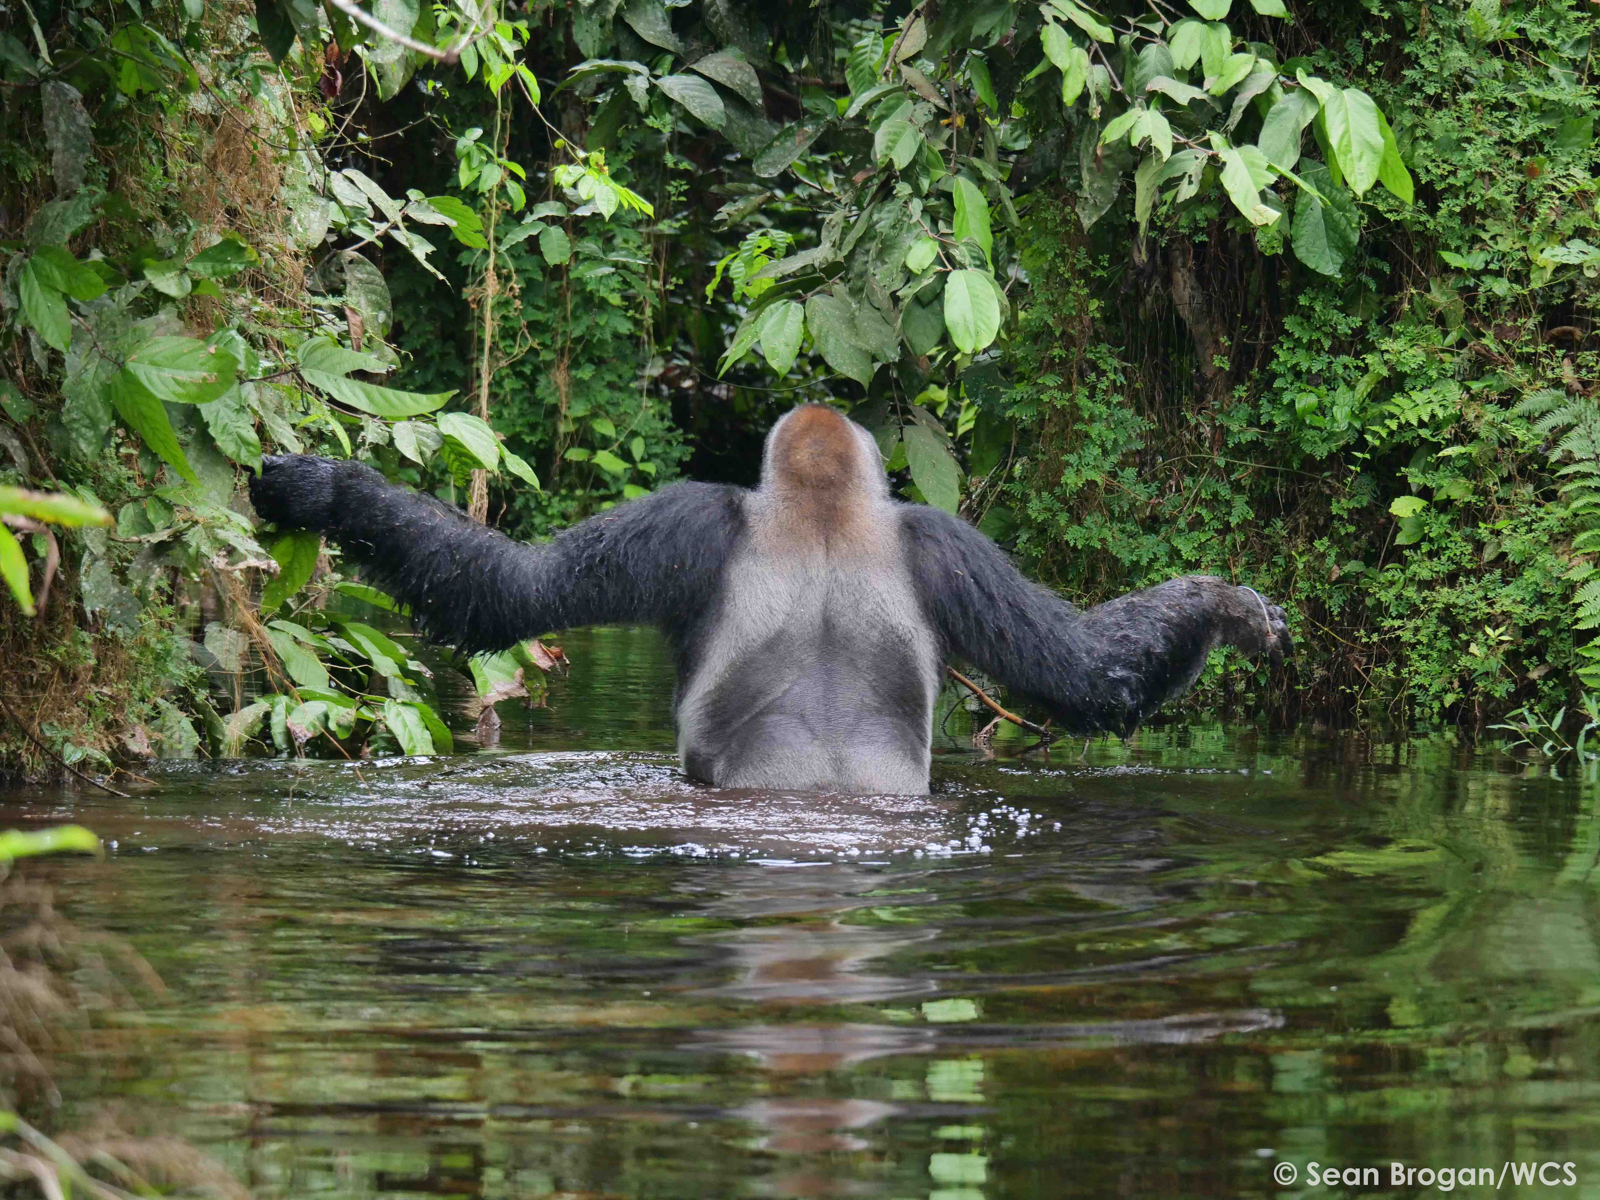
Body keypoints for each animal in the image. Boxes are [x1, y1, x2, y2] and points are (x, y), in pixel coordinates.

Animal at [249, 404, 1291, 793]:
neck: (823, 501)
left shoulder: (688, 516)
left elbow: (513, 593)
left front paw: (329, 494)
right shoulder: (947, 544)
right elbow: (1083, 673)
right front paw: (1221, 604)